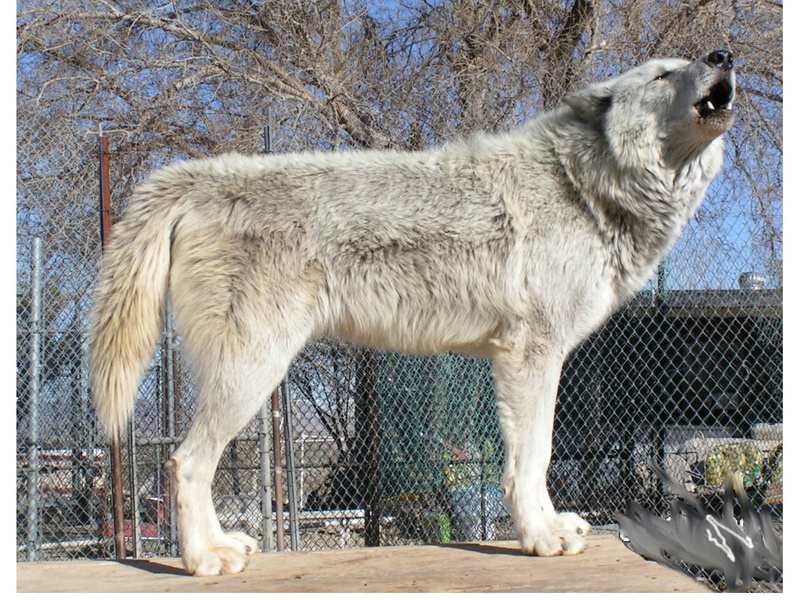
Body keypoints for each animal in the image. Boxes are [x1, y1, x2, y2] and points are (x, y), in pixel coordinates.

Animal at [90, 50, 735, 576]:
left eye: (687, 63)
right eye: (662, 75)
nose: (722, 56)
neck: (585, 187)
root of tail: (199, 177)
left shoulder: (521, 359)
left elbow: (533, 458)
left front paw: (550, 526)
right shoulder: (532, 355)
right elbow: (533, 459)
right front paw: (540, 537)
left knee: (189, 462)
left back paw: (224, 544)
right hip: (253, 372)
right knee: (185, 462)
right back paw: (204, 560)